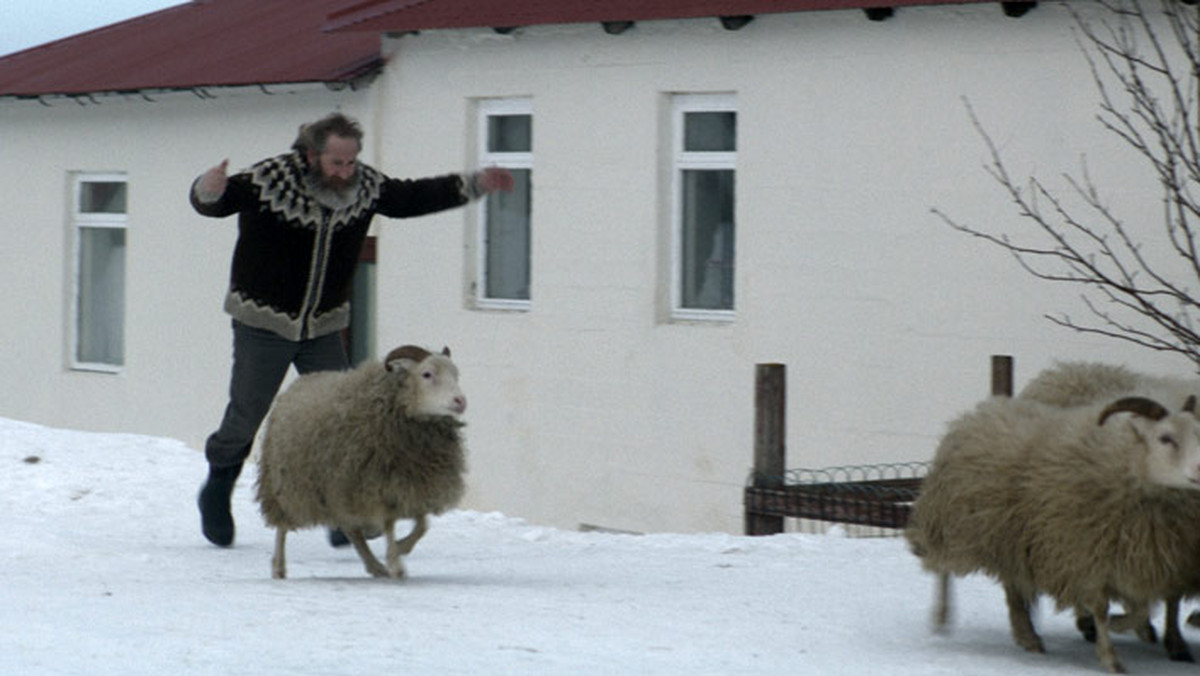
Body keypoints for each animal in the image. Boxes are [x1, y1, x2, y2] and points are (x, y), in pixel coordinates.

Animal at [255, 345, 465, 578]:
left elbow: (422, 524)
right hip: (284, 483)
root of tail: (295, 386)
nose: (460, 401)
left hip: (340, 491)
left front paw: (401, 548)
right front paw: (396, 562)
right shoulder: (377, 485)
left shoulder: (411, 484)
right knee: (282, 527)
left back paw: (374, 566)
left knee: (352, 531)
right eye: (427, 374)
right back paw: (278, 567)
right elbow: (391, 524)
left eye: (456, 375)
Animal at [902, 393, 1200, 672]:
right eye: (1165, 438)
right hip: (952, 523)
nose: (1199, 468)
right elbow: (1103, 608)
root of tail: (981, 410)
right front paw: (1111, 657)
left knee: (1012, 587)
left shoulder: (1139, 561)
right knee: (942, 570)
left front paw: (1120, 626)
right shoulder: (1084, 557)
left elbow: (1144, 608)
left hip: (1010, 539)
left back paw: (1027, 636)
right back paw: (941, 617)